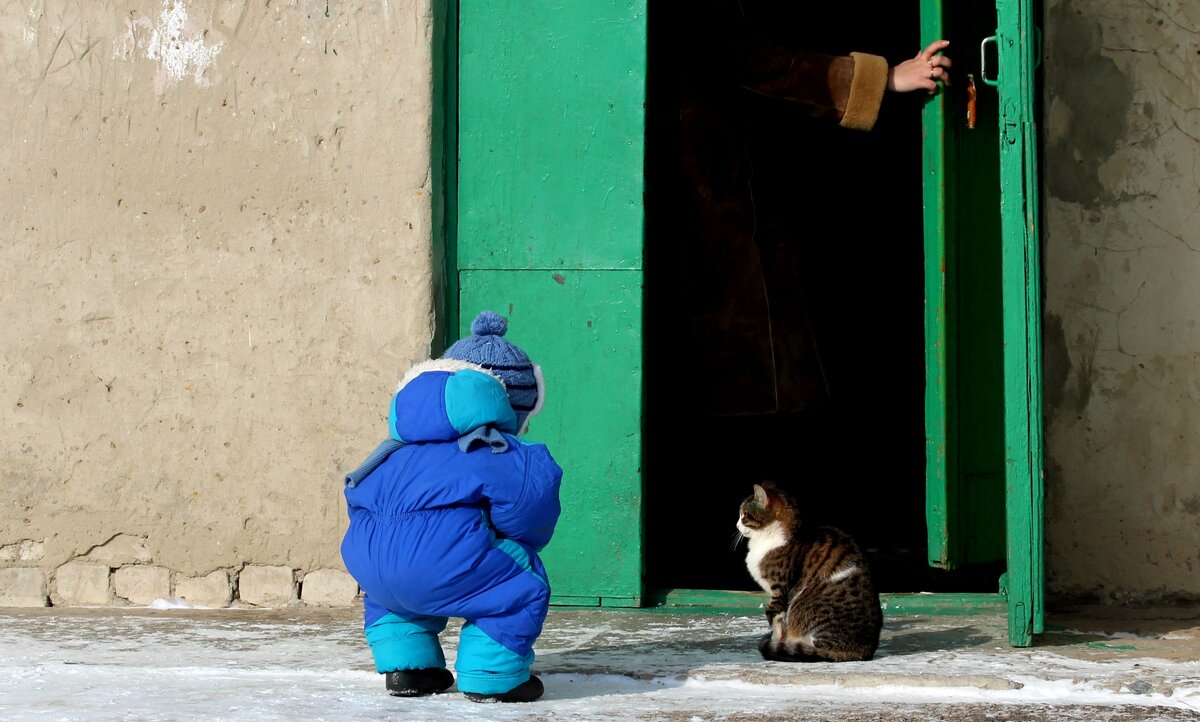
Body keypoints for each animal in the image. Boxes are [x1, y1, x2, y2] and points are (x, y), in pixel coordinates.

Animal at [734, 479, 888, 662]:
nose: (736, 525)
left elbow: (773, 615)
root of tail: (865, 650)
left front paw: (776, 639)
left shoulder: (779, 589)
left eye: (744, 515)